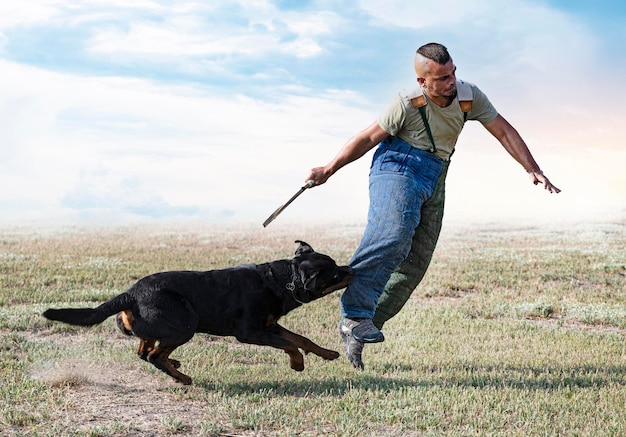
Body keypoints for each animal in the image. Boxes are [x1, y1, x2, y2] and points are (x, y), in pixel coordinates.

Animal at [44, 240, 354, 384]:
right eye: (335, 273)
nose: (352, 269)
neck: (280, 280)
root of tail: (130, 292)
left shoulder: (270, 325)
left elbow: (301, 339)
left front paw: (327, 353)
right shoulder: (251, 332)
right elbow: (291, 345)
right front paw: (297, 364)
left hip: (163, 327)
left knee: (145, 351)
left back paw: (175, 366)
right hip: (185, 324)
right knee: (154, 355)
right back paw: (182, 378)